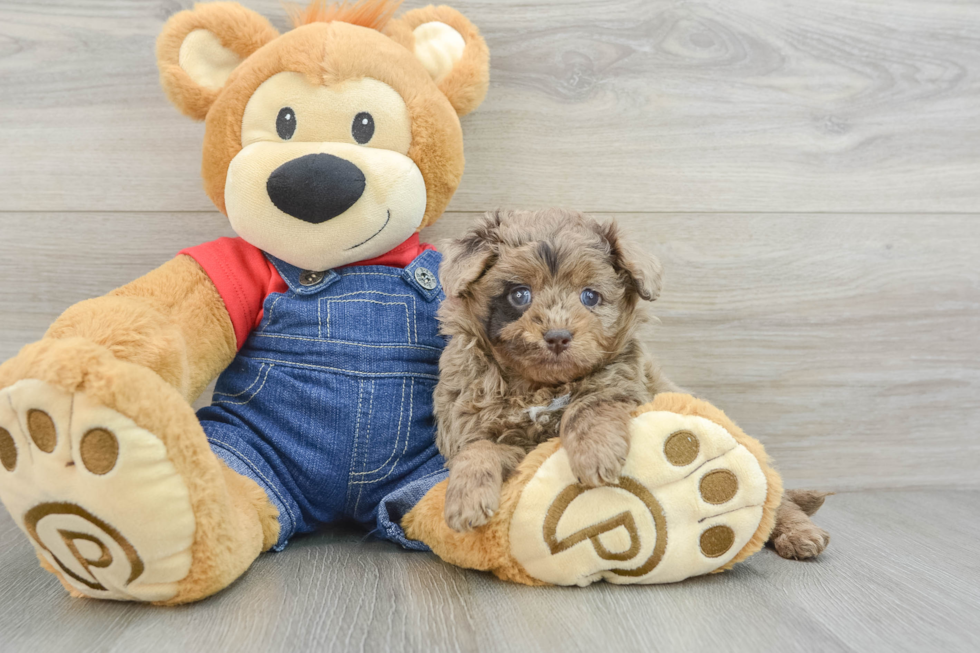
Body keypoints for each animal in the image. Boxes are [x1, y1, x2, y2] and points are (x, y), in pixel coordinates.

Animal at [432, 209, 676, 528]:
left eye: (590, 296)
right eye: (520, 294)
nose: (558, 336)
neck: (539, 387)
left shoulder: (623, 383)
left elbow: (589, 405)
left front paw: (595, 453)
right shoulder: (470, 421)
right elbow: (477, 449)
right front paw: (467, 499)